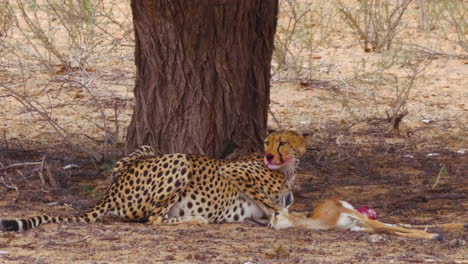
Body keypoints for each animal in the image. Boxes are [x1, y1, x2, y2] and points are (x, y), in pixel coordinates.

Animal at [0, 130, 308, 231]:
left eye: (283, 142)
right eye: (267, 142)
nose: (269, 154)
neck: (287, 170)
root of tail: (112, 189)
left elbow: (276, 207)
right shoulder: (234, 171)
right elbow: (270, 202)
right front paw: (282, 215)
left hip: (147, 149)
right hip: (180, 160)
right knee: (154, 220)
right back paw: (195, 220)